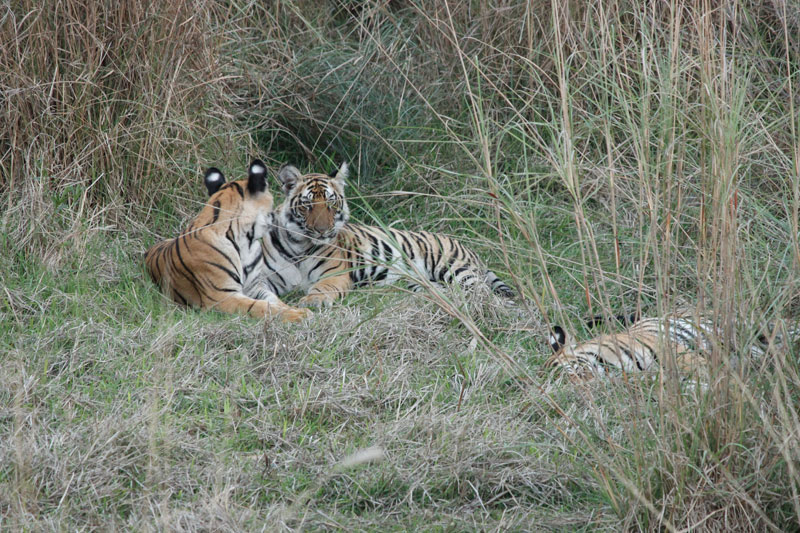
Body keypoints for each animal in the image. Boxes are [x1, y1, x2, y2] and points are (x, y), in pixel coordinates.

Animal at [146, 160, 312, 322]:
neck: (246, 242)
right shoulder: (222, 296)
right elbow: (261, 306)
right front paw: (298, 315)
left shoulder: (254, 287)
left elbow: (274, 300)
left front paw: (297, 309)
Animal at [244, 161, 516, 308]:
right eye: (308, 205)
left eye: (331, 204)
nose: (323, 230)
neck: (300, 246)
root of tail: (465, 246)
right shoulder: (263, 278)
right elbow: (260, 293)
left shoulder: (335, 276)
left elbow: (322, 289)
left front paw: (312, 301)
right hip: (422, 282)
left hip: (454, 268)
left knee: (483, 293)